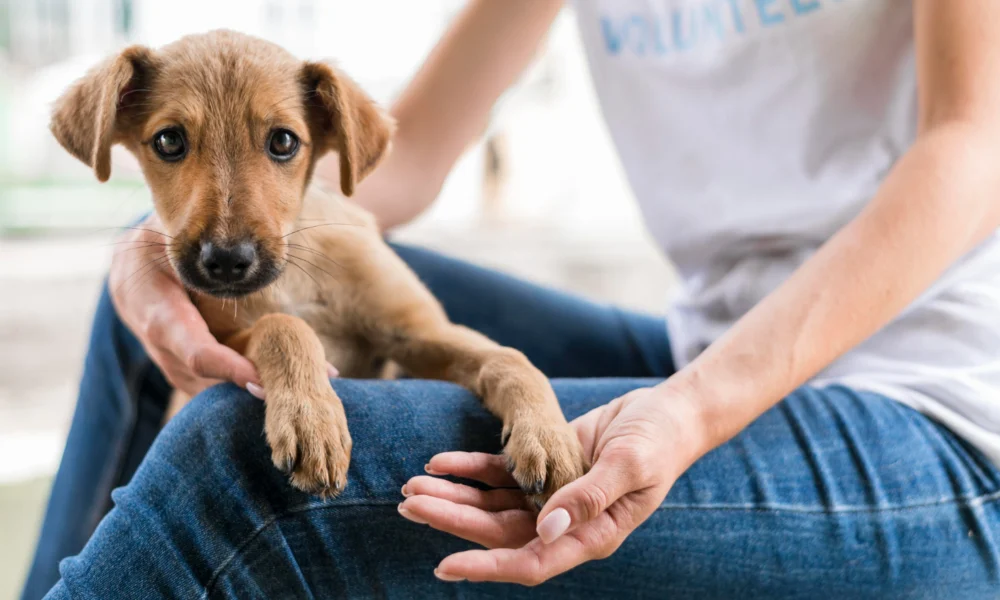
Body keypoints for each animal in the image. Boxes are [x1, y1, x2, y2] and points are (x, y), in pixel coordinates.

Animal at [50, 30, 584, 504]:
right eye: (168, 141)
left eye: (284, 141)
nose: (226, 261)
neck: (296, 276)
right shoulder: (222, 342)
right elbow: (282, 326)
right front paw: (312, 419)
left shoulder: (419, 333)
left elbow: (510, 359)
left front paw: (549, 436)